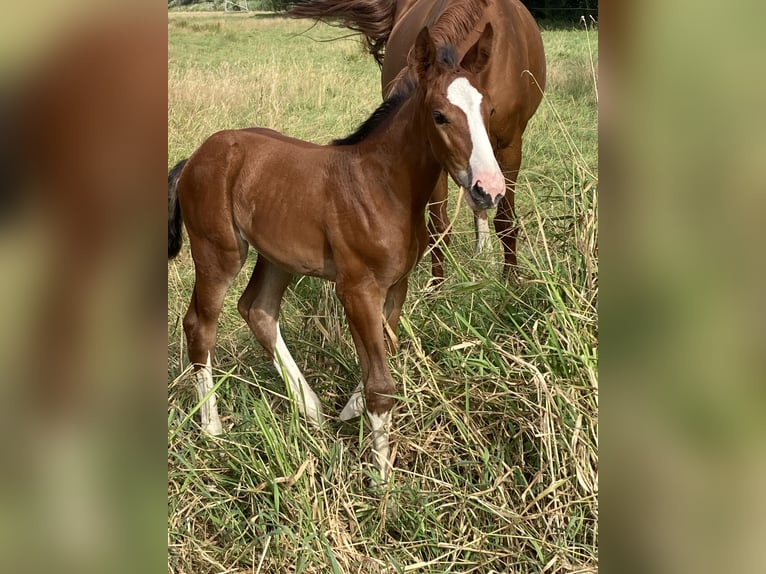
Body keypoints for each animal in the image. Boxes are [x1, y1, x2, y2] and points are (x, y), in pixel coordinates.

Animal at [168, 23, 504, 482]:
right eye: (440, 116)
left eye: (489, 111)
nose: (490, 189)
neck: (382, 185)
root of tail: (195, 157)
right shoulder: (357, 288)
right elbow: (381, 383)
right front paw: (382, 478)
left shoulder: (395, 285)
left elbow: (383, 354)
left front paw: (349, 411)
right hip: (218, 252)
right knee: (201, 325)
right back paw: (213, 428)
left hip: (277, 257)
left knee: (259, 310)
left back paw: (311, 409)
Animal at [290, 0, 544, 280]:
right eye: (437, 116)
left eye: (491, 111)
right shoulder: (435, 153)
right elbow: (439, 227)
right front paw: (436, 287)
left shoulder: (509, 148)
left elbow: (506, 221)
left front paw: (511, 280)